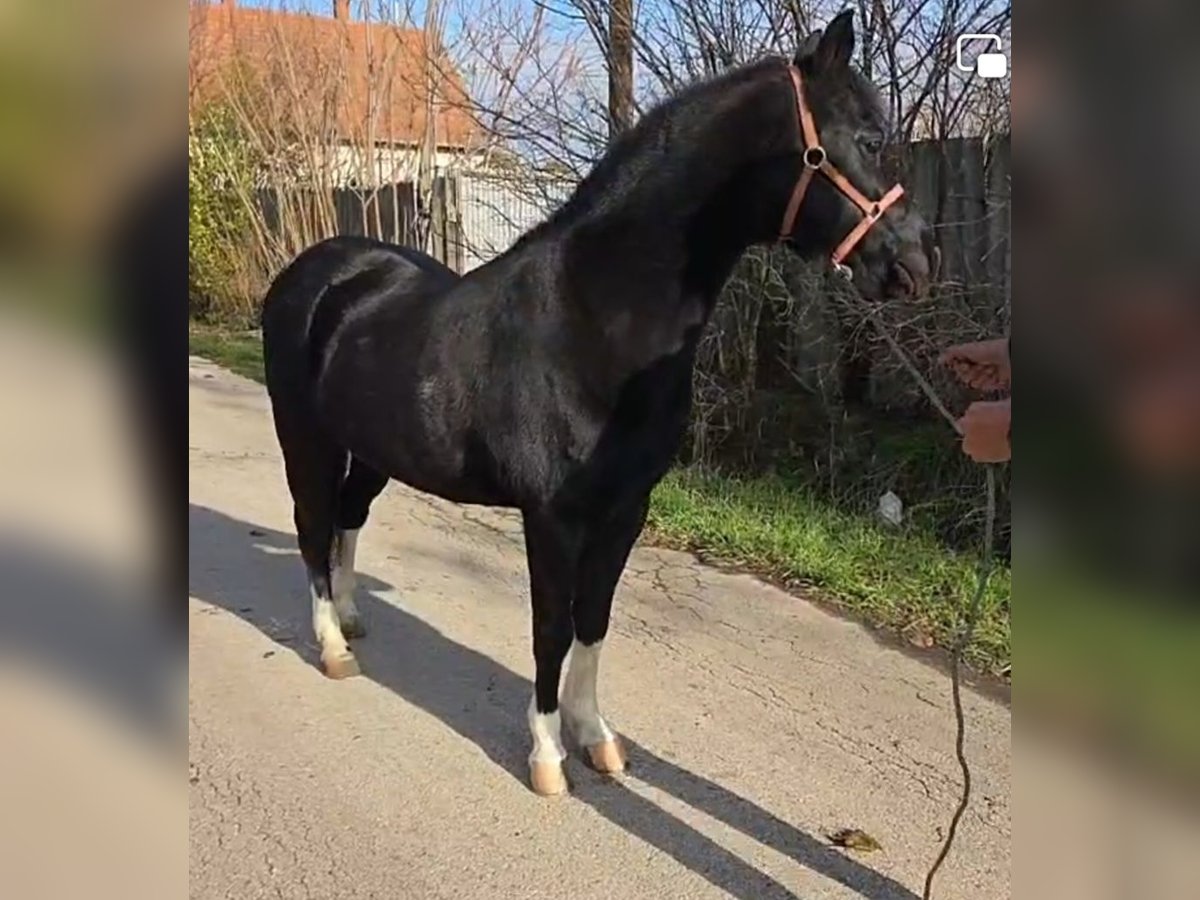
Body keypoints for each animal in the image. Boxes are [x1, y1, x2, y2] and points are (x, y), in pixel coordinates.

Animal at [261, 11, 934, 796]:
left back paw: (352, 617)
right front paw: (548, 755)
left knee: (347, 518)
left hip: (373, 451)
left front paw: (596, 738)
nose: (915, 264)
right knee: (312, 526)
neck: (591, 320)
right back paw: (333, 646)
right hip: (305, 439)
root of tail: (316, 272)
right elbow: (552, 626)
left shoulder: (626, 508)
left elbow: (596, 618)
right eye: (868, 138)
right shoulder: (553, 515)